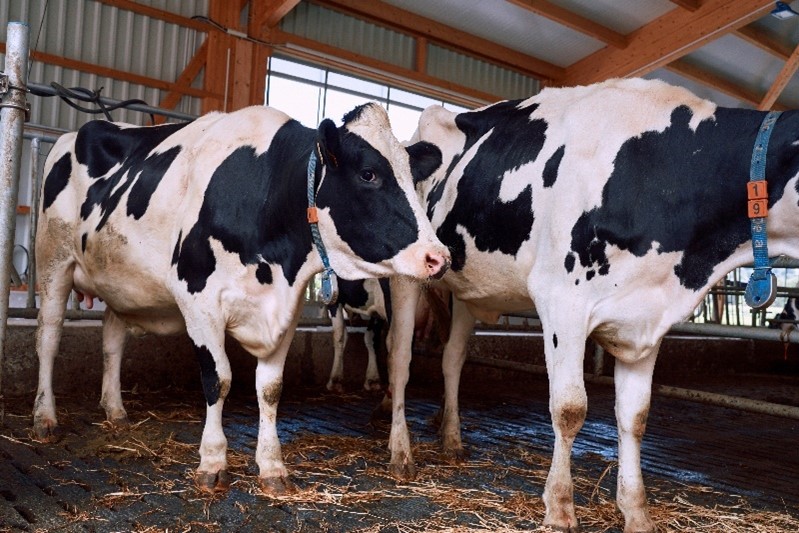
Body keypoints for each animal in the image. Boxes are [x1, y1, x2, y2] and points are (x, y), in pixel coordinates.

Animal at [32, 102, 451, 495]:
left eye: (413, 177)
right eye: (368, 174)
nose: (438, 257)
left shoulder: (286, 310)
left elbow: (270, 389)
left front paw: (272, 466)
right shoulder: (198, 299)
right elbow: (218, 379)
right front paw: (213, 461)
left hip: (120, 284)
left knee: (112, 341)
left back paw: (116, 410)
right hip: (52, 260)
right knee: (48, 338)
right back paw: (45, 417)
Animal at [384, 77, 799, 532]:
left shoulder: (646, 318)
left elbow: (635, 417)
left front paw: (636, 513)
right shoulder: (561, 301)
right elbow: (569, 409)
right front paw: (560, 509)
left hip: (466, 289)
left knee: (453, 358)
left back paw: (452, 439)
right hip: (407, 275)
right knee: (400, 357)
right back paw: (401, 452)